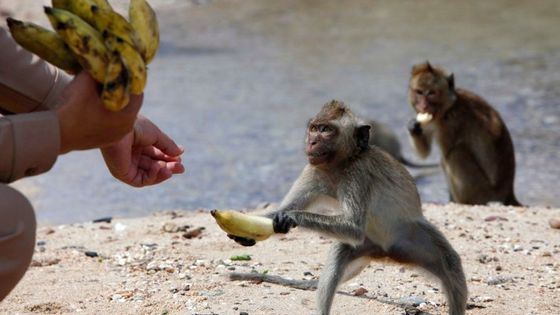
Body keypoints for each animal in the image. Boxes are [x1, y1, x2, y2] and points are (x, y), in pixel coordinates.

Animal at [228, 101, 468, 315]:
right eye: (314, 128)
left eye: (326, 130)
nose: (312, 142)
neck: (339, 164)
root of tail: (385, 253)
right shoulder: (312, 170)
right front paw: (248, 231)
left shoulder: (358, 174)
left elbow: (353, 227)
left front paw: (289, 217)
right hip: (366, 245)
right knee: (338, 256)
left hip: (413, 238)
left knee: (451, 265)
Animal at [406, 61, 520, 207]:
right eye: (419, 92)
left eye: (431, 93)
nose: (423, 106)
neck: (449, 106)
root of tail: (508, 194)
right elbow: (425, 153)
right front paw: (413, 126)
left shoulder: (451, 123)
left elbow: (446, 154)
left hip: (483, 192)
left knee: (455, 153)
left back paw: (462, 202)